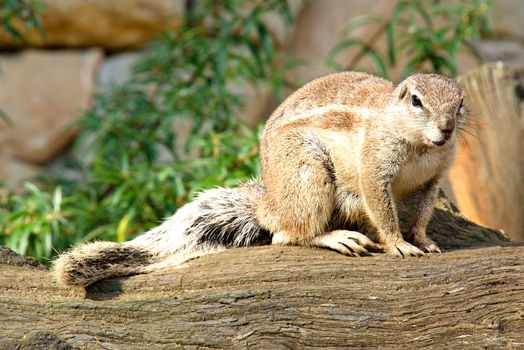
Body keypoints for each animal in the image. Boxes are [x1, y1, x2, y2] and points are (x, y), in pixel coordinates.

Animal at [55, 71, 464, 288]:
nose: (446, 129)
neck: (420, 147)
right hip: (309, 175)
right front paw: (399, 243)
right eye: (416, 101)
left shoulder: (433, 179)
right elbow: (382, 208)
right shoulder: (373, 170)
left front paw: (423, 239)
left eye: (460, 104)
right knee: (288, 234)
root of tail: (269, 204)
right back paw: (337, 237)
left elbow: (423, 213)